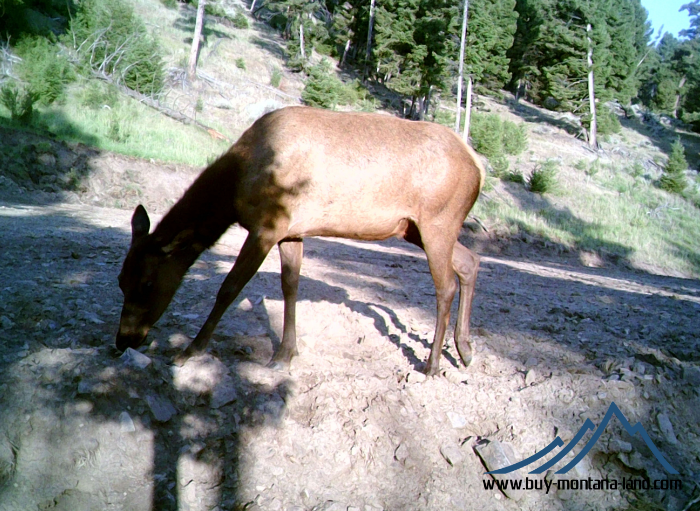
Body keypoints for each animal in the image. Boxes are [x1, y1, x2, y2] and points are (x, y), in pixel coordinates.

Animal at [116, 106, 486, 376]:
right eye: (121, 280)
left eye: (147, 283)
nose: (123, 340)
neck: (233, 189)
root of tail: (478, 166)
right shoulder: (291, 232)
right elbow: (290, 286)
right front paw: (284, 354)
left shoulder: (266, 227)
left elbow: (229, 288)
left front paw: (191, 350)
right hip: (414, 229)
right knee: (470, 261)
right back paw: (465, 349)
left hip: (438, 222)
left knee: (445, 286)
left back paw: (433, 363)